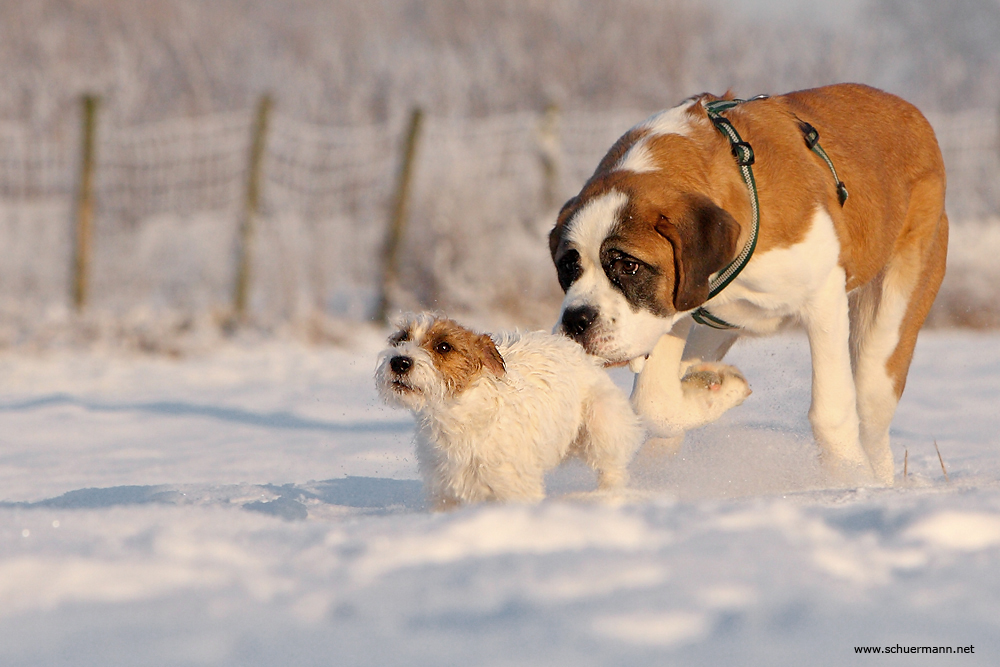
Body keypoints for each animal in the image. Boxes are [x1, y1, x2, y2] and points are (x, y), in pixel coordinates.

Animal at [376, 316, 648, 508]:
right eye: (401, 338)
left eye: (444, 346)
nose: (399, 361)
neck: (458, 418)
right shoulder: (445, 494)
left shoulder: (515, 490)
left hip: (601, 423)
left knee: (611, 469)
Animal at [552, 86, 948, 488]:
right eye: (568, 266)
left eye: (628, 266)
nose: (576, 322)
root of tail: (913, 114)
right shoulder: (673, 310)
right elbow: (653, 402)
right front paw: (714, 389)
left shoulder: (823, 297)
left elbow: (831, 412)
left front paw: (848, 477)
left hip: (890, 320)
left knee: (871, 409)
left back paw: (878, 480)